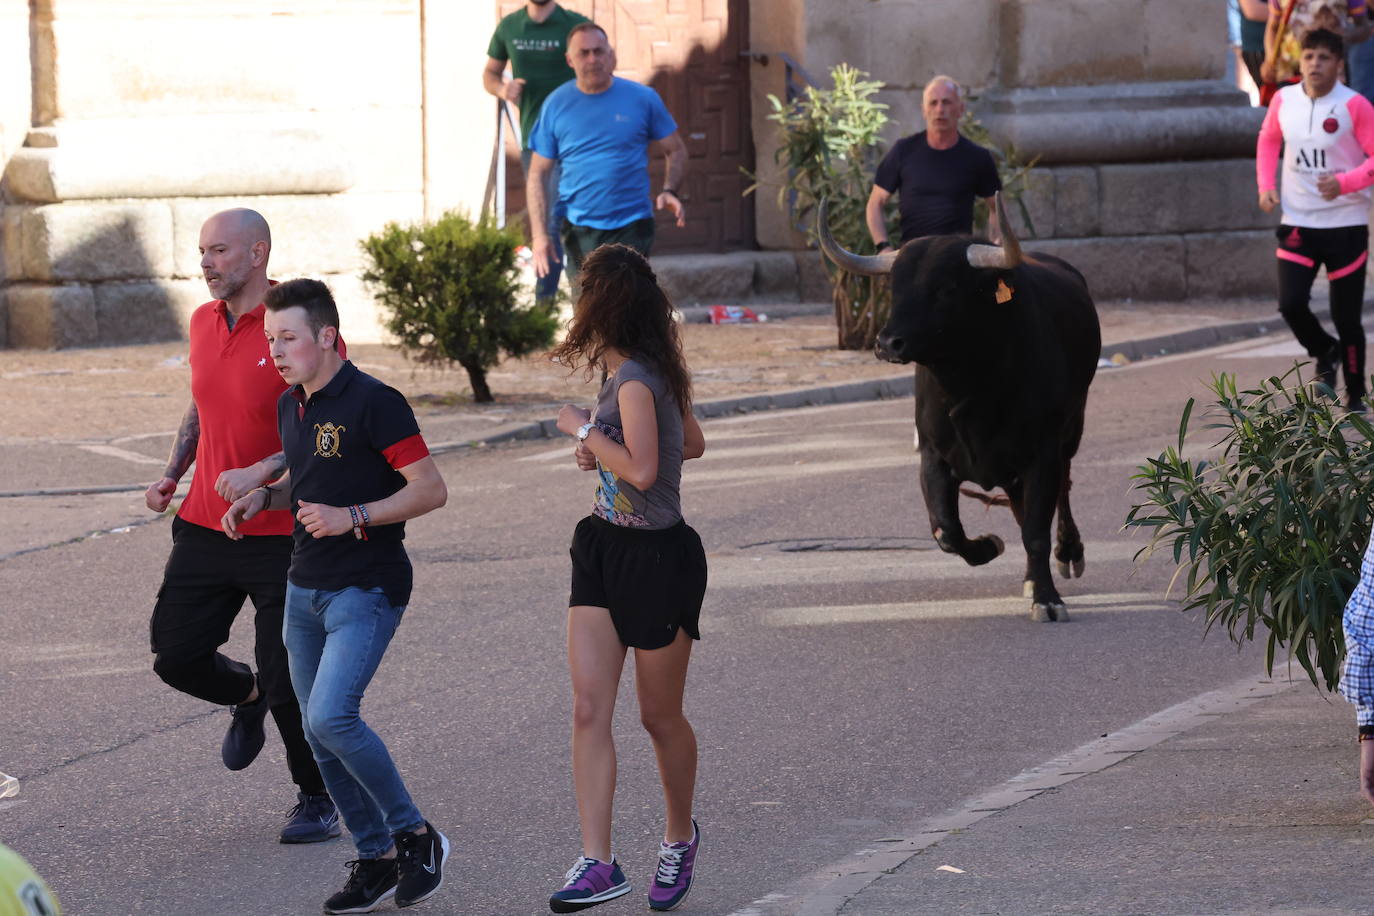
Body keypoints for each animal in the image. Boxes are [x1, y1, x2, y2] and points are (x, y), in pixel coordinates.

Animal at [818, 195, 1099, 623]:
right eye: (895, 286)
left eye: (946, 288)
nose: (886, 343)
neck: (971, 387)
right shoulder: (933, 457)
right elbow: (947, 530)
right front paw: (989, 546)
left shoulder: (1043, 452)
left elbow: (1036, 530)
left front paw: (1048, 599)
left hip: (1071, 430)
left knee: (1061, 493)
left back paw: (1067, 554)